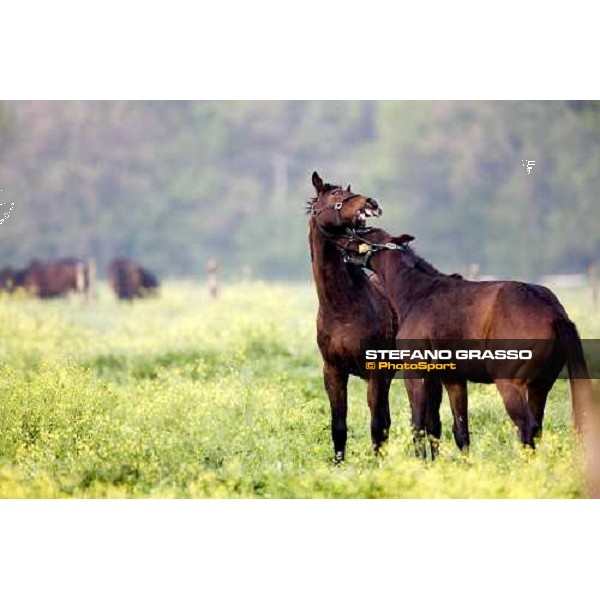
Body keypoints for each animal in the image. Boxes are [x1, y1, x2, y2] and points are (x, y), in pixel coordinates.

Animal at [310, 171, 398, 462]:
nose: (371, 203)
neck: (343, 310)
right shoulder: (334, 370)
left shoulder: (376, 372)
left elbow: (376, 426)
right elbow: (339, 426)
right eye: (336, 195)